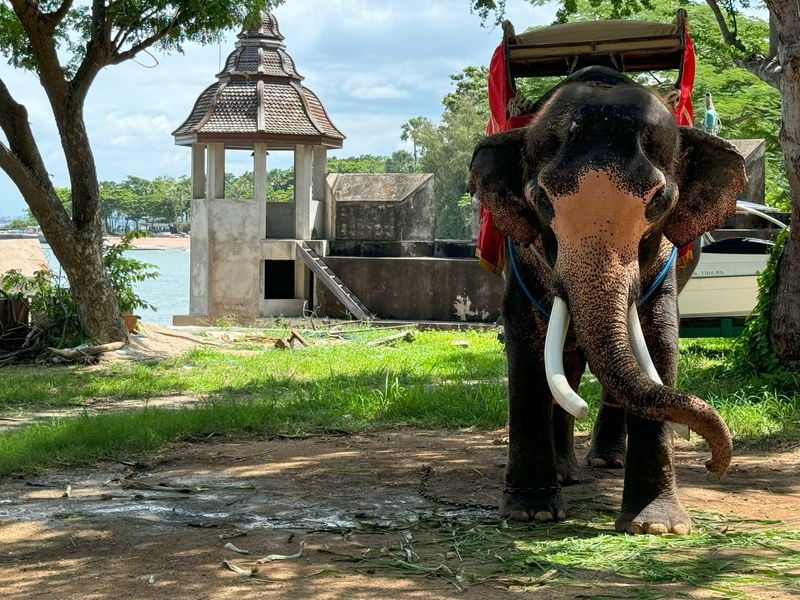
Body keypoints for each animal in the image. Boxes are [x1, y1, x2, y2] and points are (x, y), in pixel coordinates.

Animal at [468, 66, 746, 535]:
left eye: (659, 201)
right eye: (541, 199)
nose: (714, 466)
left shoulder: (665, 265)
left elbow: (659, 341)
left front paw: (657, 527)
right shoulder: (520, 257)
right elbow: (526, 345)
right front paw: (530, 512)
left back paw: (606, 462)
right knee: (565, 364)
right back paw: (566, 472)